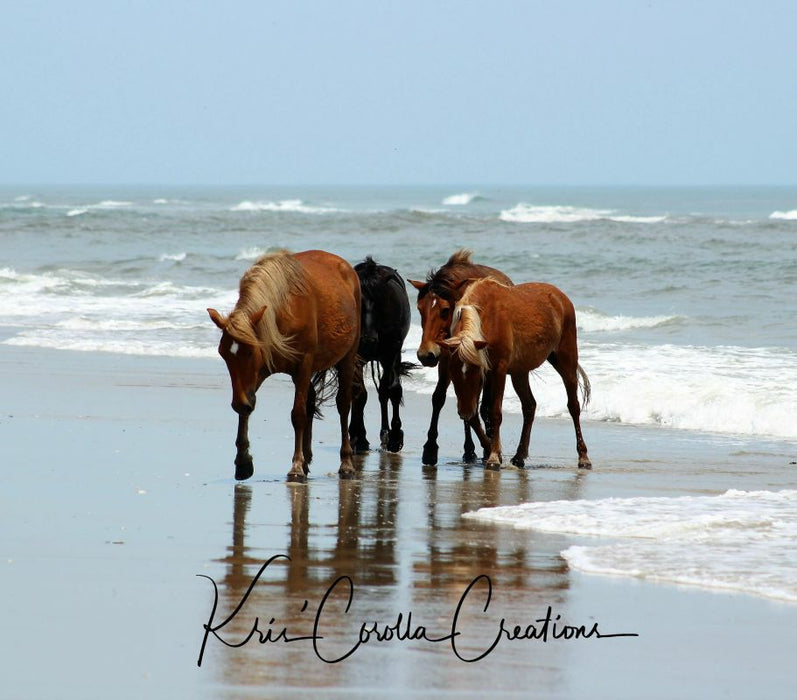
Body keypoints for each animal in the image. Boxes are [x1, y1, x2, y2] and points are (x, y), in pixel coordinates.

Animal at [210, 249, 362, 484]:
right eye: (223, 354)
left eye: (250, 352)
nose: (238, 403)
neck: (281, 312)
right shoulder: (258, 373)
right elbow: (248, 407)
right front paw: (243, 461)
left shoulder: (303, 363)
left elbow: (297, 414)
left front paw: (296, 467)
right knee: (310, 402)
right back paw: (308, 459)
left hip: (347, 356)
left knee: (343, 404)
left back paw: (345, 462)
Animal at [346, 258, 410, 454]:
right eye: (358, 301)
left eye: (381, 302)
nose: (368, 341)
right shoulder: (357, 357)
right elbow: (359, 394)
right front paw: (358, 437)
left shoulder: (392, 352)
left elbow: (393, 390)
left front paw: (395, 438)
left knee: (383, 391)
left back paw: (385, 434)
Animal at [408, 249, 512, 468]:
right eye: (420, 309)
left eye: (445, 310)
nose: (425, 355)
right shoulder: (448, 360)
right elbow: (439, 398)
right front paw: (430, 449)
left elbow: (480, 408)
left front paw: (490, 448)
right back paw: (469, 449)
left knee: (483, 407)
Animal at [436, 278, 592, 470]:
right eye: (453, 374)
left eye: (476, 375)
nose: (464, 412)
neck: (486, 316)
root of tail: (561, 297)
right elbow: (476, 417)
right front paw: (492, 449)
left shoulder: (498, 370)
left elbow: (495, 412)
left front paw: (494, 456)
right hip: (520, 372)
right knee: (529, 406)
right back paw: (519, 456)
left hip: (566, 362)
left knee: (574, 406)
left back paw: (583, 457)